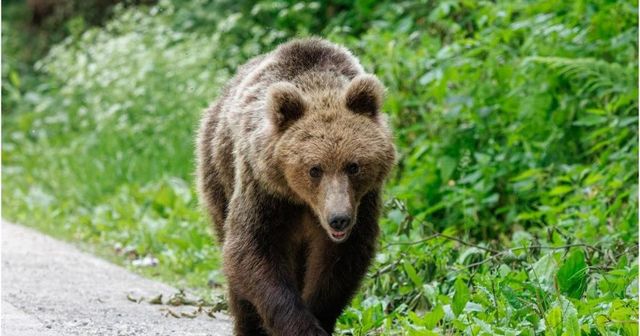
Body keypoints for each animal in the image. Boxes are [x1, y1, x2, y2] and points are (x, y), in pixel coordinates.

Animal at [195, 38, 396, 334]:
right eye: (314, 169)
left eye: (353, 166)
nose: (339, 219)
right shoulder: (265, 191)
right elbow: (251, 249)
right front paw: (300, 326)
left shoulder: (363, 202)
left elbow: (339, 264)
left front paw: (319, 316)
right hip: (218, 172)